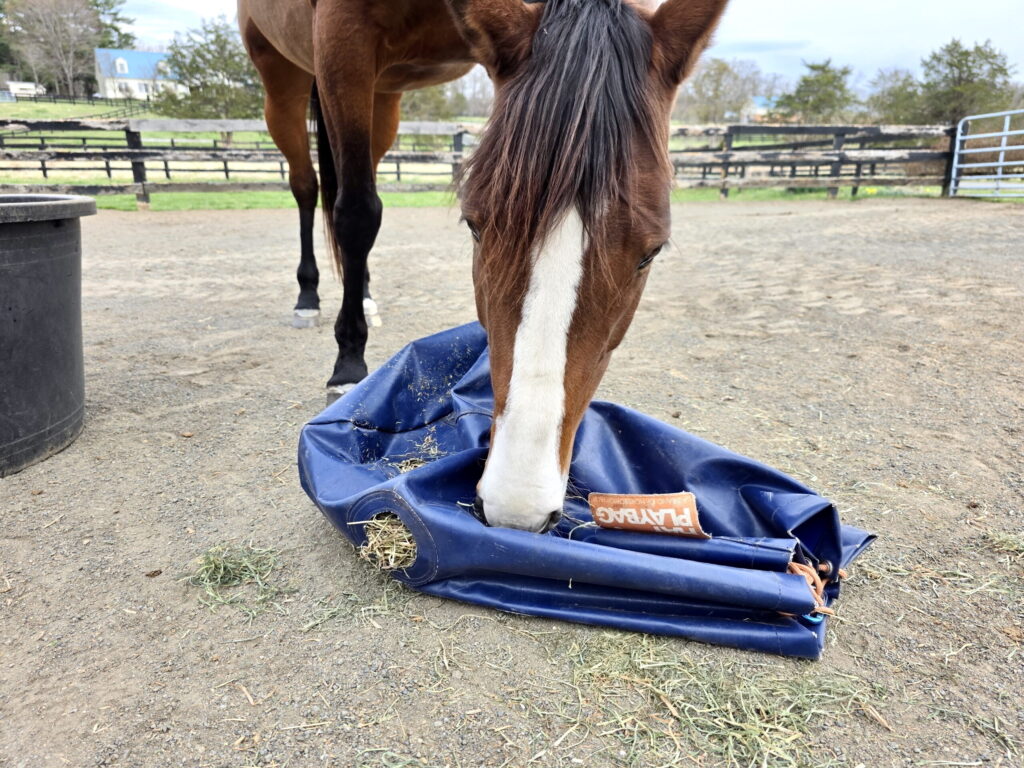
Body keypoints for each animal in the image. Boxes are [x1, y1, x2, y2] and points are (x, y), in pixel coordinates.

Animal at [240, 0, 729, 532]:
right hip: (285, 78)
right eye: (474, 226)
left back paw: (364, 294)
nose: (518, 507)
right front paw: (348, 364)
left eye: (651, 252)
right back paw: (308, 296)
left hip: (383, 96)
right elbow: (355, 213)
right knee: (310, 189)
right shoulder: (342, 40)